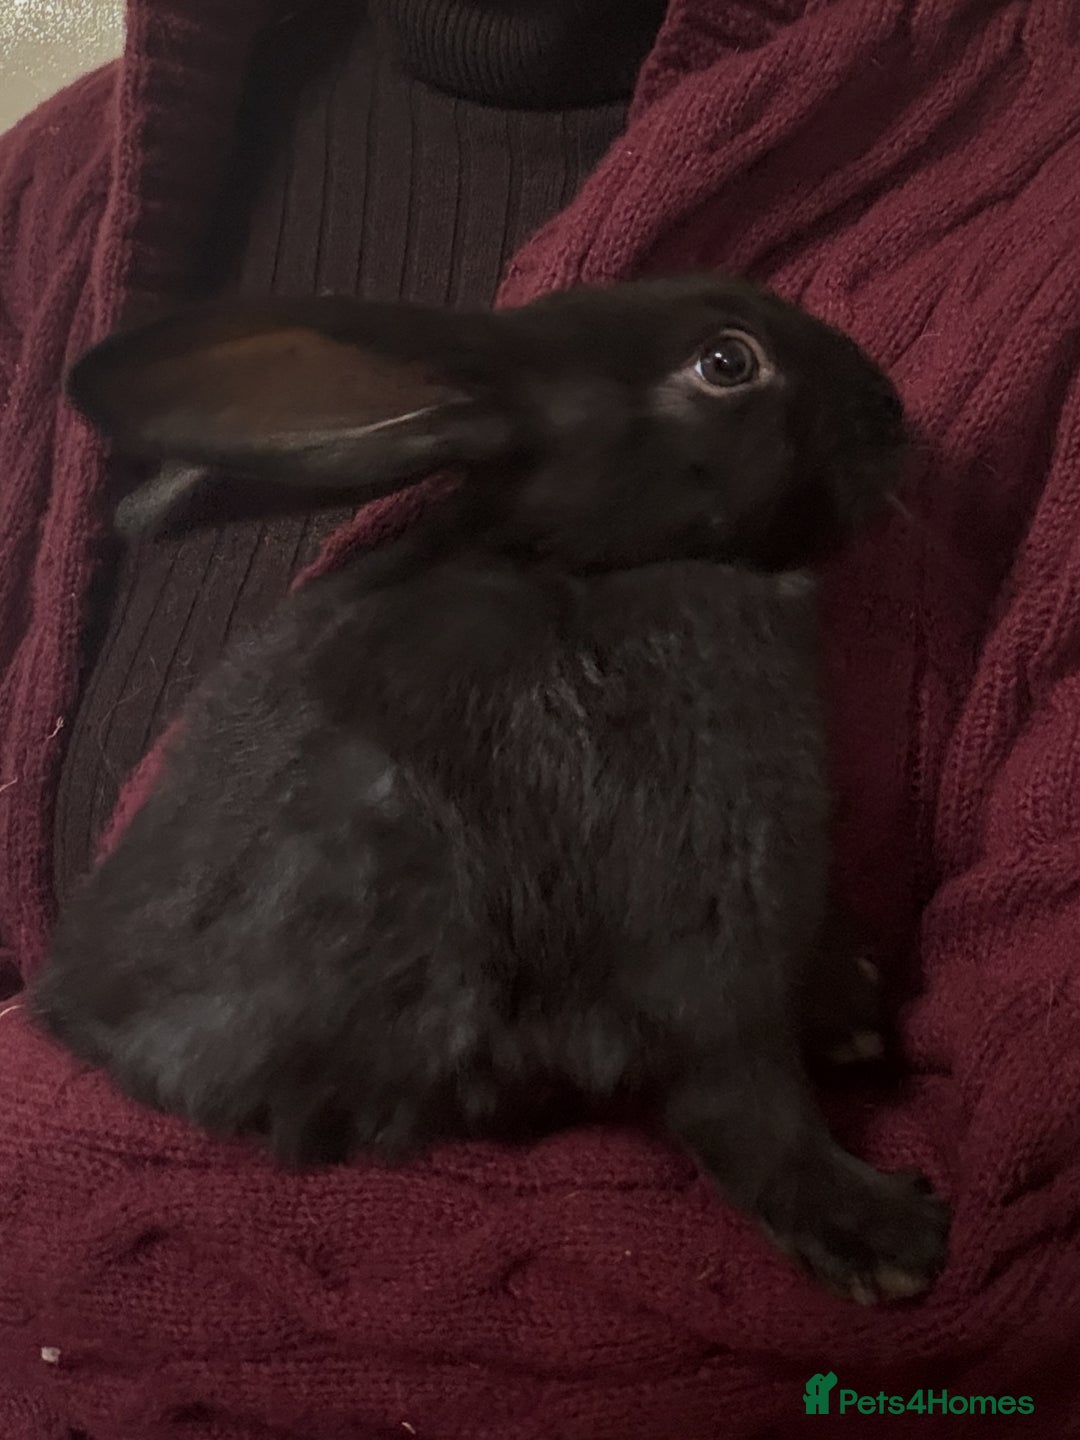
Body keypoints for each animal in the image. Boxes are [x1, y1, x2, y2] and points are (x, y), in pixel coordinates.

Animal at [32, 274, 948, 1304]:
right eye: (726, 361)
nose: (890, 408)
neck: (610, 565)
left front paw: (854, 1010)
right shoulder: (705, 934)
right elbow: (748, 1103)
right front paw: (887, 1239)